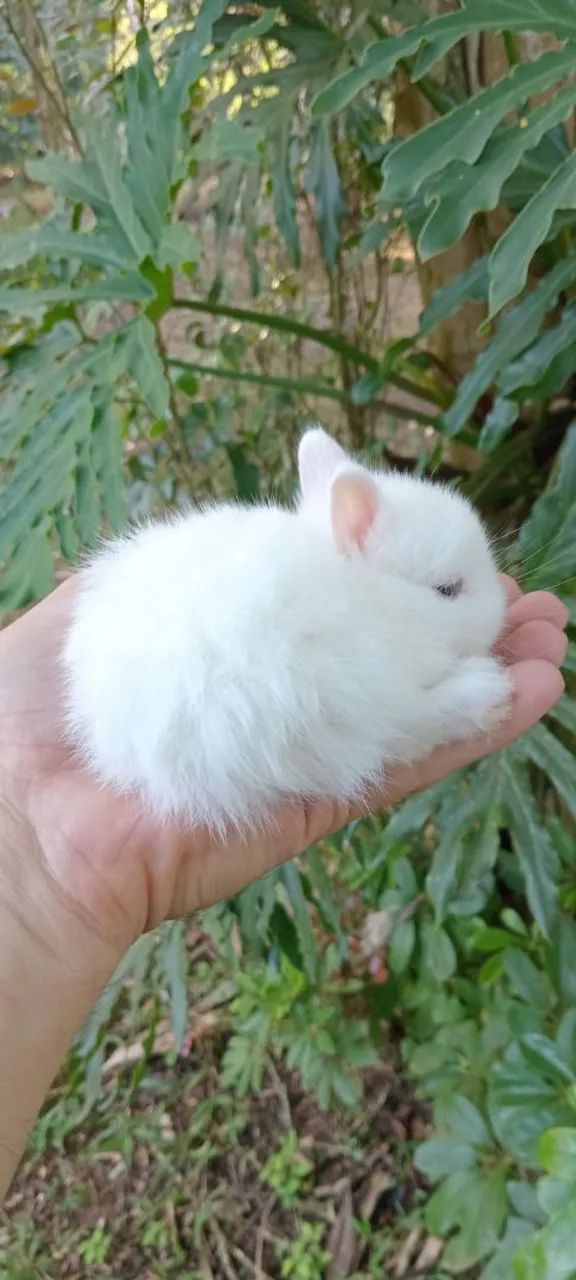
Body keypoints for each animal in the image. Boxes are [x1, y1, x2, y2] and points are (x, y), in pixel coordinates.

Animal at [62, 426, 511, 832]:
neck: (365, 601)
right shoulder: (359, 696)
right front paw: (489, 691)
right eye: (447, 589)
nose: (501, 609)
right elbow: (416, 719)